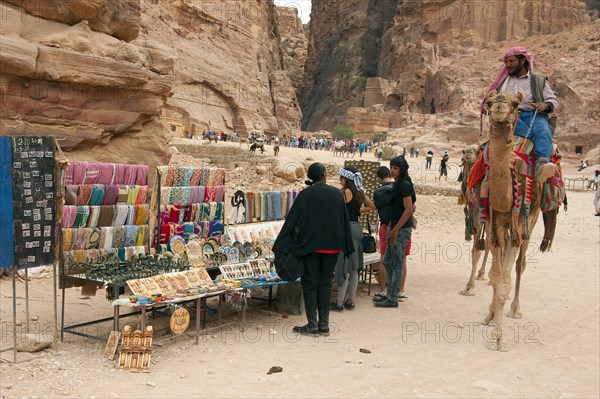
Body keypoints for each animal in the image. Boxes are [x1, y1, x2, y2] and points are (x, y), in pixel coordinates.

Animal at [474, 90, 564, 350]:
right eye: (489, 101)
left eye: (515, 103)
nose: (499, 105)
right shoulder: (495, 221)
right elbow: (495, 277)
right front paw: (490, 316)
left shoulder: (517, 223)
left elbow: (505, 279)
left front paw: (499, 337)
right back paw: (494, 312)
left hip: (530, 219)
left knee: (520, 264)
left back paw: (514, 309)